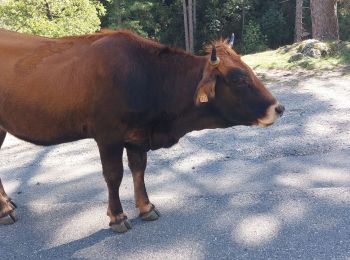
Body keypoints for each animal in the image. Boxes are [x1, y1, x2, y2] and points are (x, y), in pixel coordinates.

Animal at [0, 29, 284, 233]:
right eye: (239, 78)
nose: (279, 108)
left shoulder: (136, 136)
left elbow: (139, 168)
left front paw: (146, 207)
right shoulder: (108, 135)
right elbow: (114, 175)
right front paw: (117, 217)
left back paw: (6, 204)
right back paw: (4, 210)